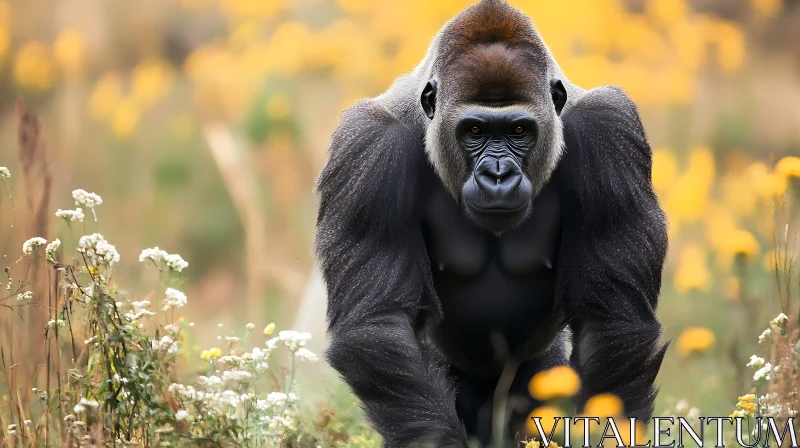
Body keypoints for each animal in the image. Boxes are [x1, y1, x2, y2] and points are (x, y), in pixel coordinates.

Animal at [312, 1, 668, 446]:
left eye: (518, 130)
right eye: (475, 130)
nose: (498, 175)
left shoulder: (608, 129)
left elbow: (611, 321)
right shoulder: (369, 143)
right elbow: (379, 324)